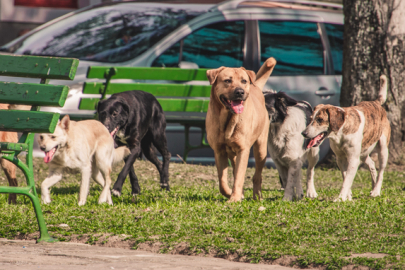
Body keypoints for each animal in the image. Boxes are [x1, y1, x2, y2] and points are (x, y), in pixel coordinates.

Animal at [207, 58, 276, 202]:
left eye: (244, 81)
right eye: (227, 80)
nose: (240, 92)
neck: (228, 119)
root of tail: (256, 87)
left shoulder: (243, 150)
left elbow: (239, 176)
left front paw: (234, 198)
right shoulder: (219, 151)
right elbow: (222, 181)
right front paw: (230, 193)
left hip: (260, 149)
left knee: (257, 176)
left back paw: (257, 196)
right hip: (233, 153)